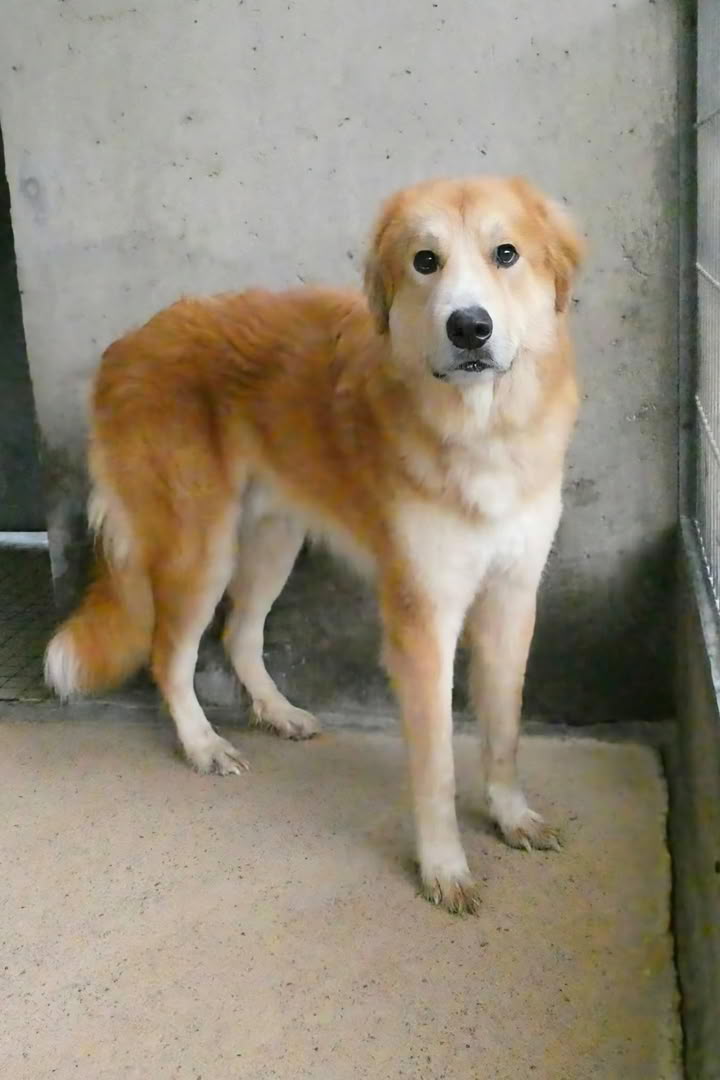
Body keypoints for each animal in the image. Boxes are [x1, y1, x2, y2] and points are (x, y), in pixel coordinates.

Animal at [45, 176, 583, 913]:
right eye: (425, 261)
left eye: (507, 254)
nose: (469, 326)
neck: (483, 428)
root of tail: (126, 344)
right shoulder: (424, 620)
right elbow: (437, 764)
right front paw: (443, 865)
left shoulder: (511, 597)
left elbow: (504, 729)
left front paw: (510, 815)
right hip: (201, 549)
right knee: (169, 655)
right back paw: (202, 745)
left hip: (275, 540)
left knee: (239, 634)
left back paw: (276, 712)